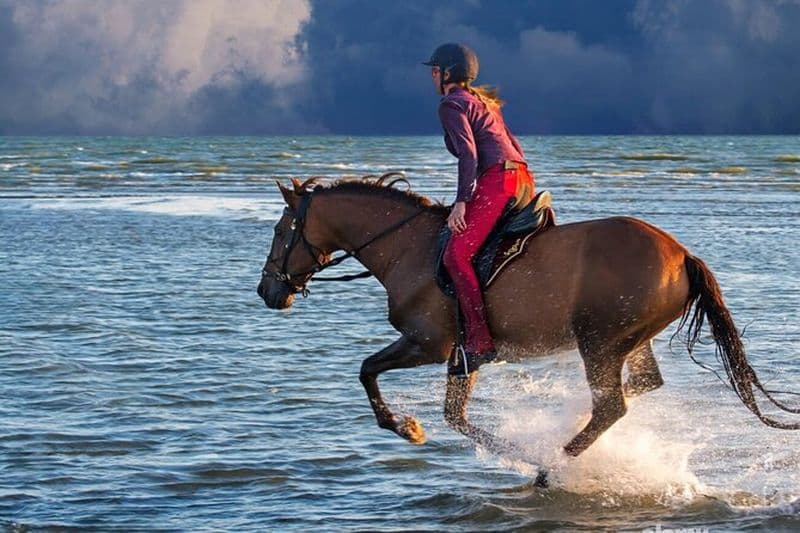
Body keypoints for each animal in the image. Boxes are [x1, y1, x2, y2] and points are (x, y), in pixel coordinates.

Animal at [257, 173, 800, 464]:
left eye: (281, 231)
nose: (267, 290)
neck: (408, 248)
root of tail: (683, 255)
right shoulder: (464, 356)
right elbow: (455, 417)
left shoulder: (429, 344)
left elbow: (367, 370)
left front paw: (407, 427)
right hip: (629, 339)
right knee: (640, 388)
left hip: (598, 341)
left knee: (612, 406)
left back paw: (552, 465)